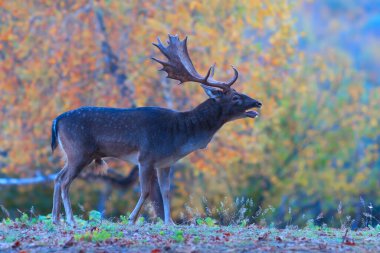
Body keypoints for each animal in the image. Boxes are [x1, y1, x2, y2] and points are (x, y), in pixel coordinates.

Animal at [51, 34, 262, 225]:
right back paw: (70, 220)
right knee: (65, 181)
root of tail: (57, 119)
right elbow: (146, 191)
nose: (258, 103)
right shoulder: (146, 157)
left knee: (58, 177)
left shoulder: (165, 162)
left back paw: (55, 219)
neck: (180, 136)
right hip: (79, 151)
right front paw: (132, 219)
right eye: (235, 97)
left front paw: (170, 222)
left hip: (72, 153)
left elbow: (166, 192)